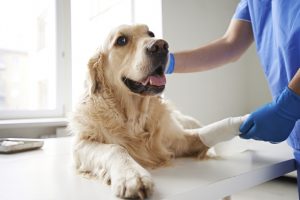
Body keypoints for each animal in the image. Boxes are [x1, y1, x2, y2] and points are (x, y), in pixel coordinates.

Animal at [69, 24, 247, 199]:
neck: (134, 119)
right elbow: (115, 148)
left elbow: (208, 132)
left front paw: (244, 121)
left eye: (151, 33)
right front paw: (132, 175)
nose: (161, 45)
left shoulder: (180, 140)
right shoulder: (81, 144)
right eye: (121, 40)